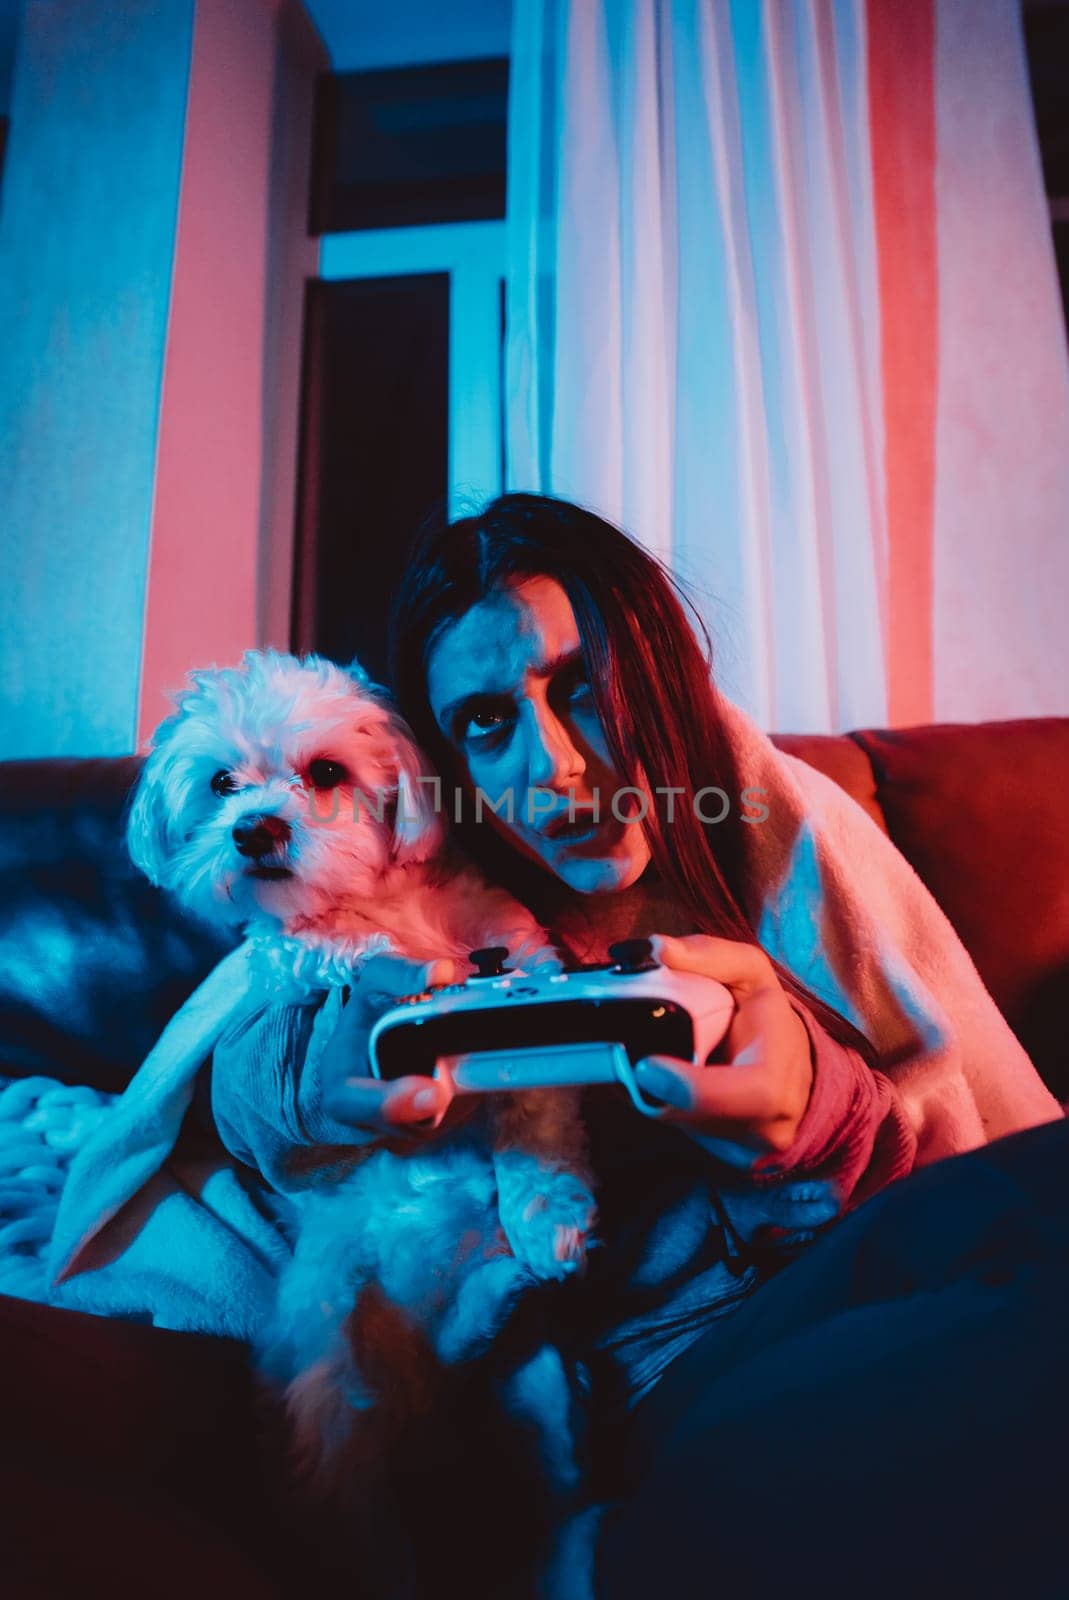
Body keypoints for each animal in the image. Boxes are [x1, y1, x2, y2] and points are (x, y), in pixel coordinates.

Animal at [127, 646, 592, 1510]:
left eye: (327, 771)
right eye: (220, 783)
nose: (255, 829)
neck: (386, 903)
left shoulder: (520, 954)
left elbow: (537, 1120)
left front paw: (549, 1217)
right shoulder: (289, 956)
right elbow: (328, 947)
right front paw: (391, 968)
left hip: (528, 1383)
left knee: (484, 1370)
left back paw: (502, 1292)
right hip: (330, 1343)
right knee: (355, 1439)